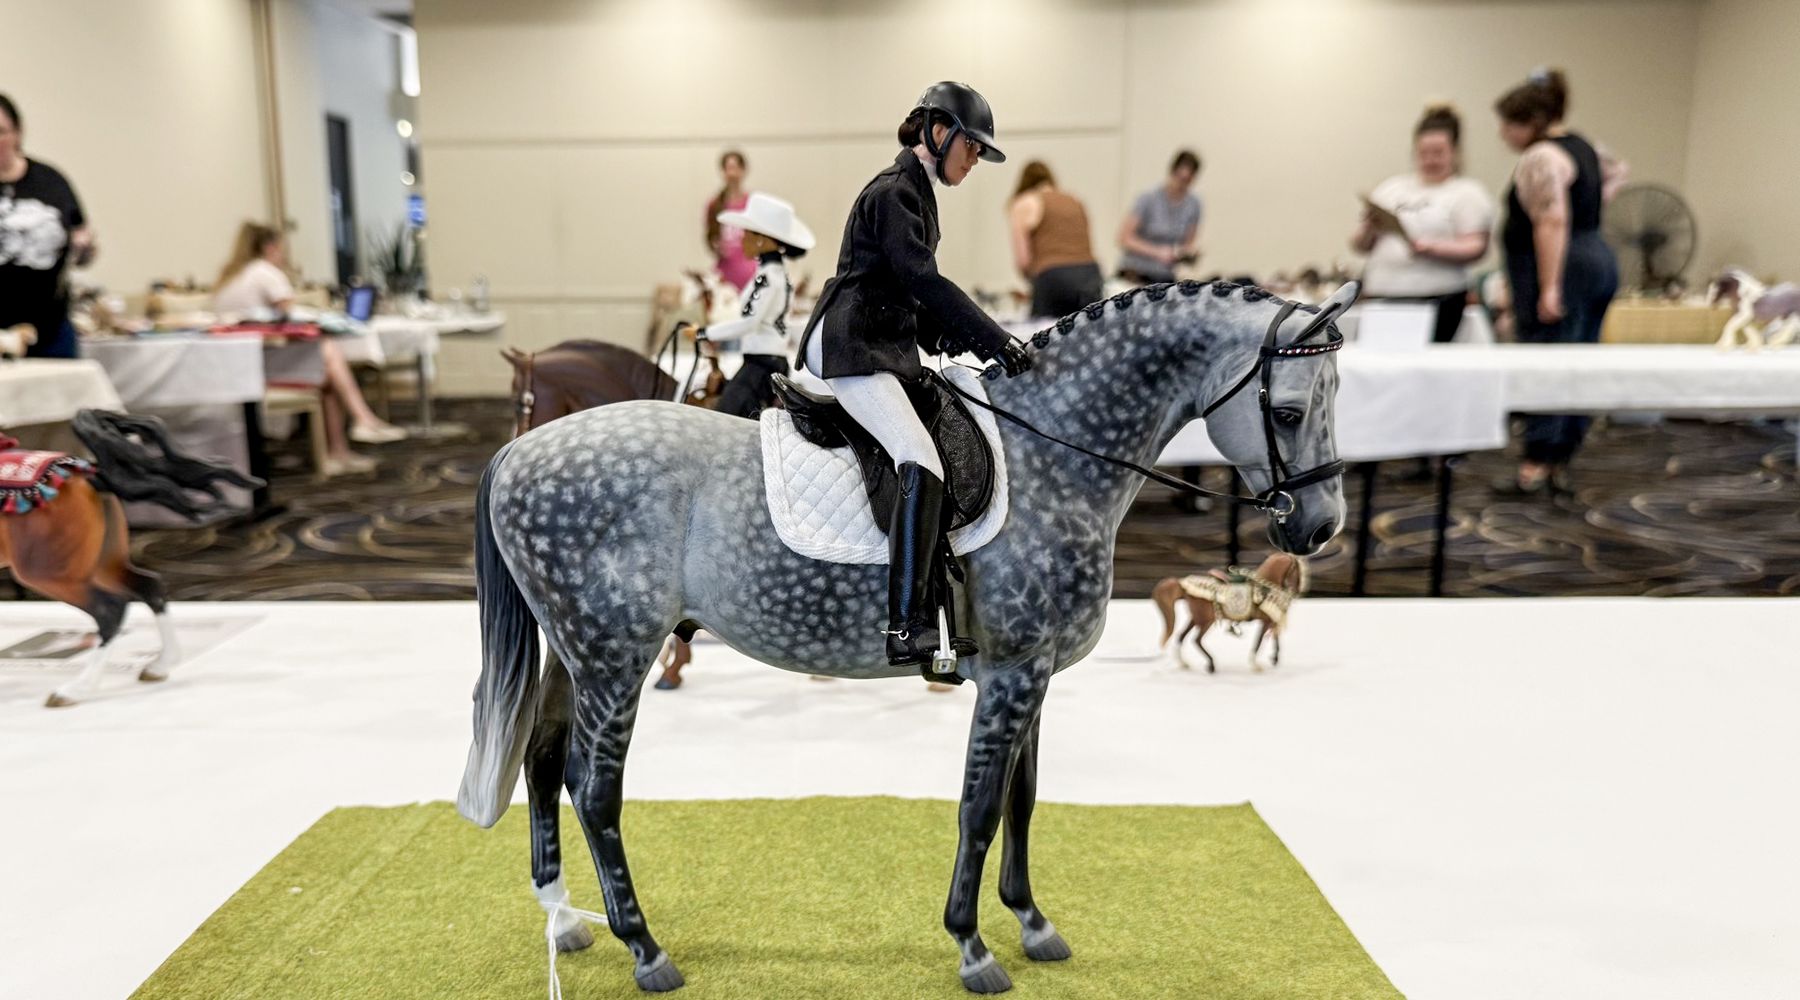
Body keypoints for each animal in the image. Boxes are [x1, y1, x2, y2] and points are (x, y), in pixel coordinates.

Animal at [1, 410, 261, 707]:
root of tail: (93, 477)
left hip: (49, 572)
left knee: (110, 610)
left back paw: (74, 690)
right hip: (102, 565)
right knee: (149, 586)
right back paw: (160, 665)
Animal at [1151, 552, 1309, 674]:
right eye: (1297, 571)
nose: (1297, 591)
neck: (1263, 588)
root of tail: (1183, 585)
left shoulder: (1271, 620)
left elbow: (1276, 637)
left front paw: (1275, 658)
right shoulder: (1265, 622)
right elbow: (1258, 642)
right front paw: (1256, 665)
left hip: (1196, 619)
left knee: (1181, 637)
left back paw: (1184, 663)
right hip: (1205, 621)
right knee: (1196, 640)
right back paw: (1211, 665)